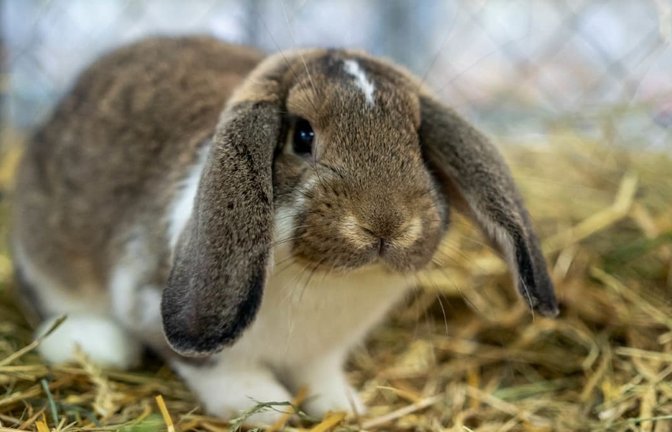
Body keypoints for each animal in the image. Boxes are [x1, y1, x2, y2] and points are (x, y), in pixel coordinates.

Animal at [11, 36, 558, 425]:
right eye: (302, 135)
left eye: (417, 141)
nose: (386, 225)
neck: (326, 280)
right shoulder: (150, 300)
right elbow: (219, 369)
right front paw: (267, 408)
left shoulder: (324, 352)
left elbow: (319, 376)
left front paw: (341, 406)